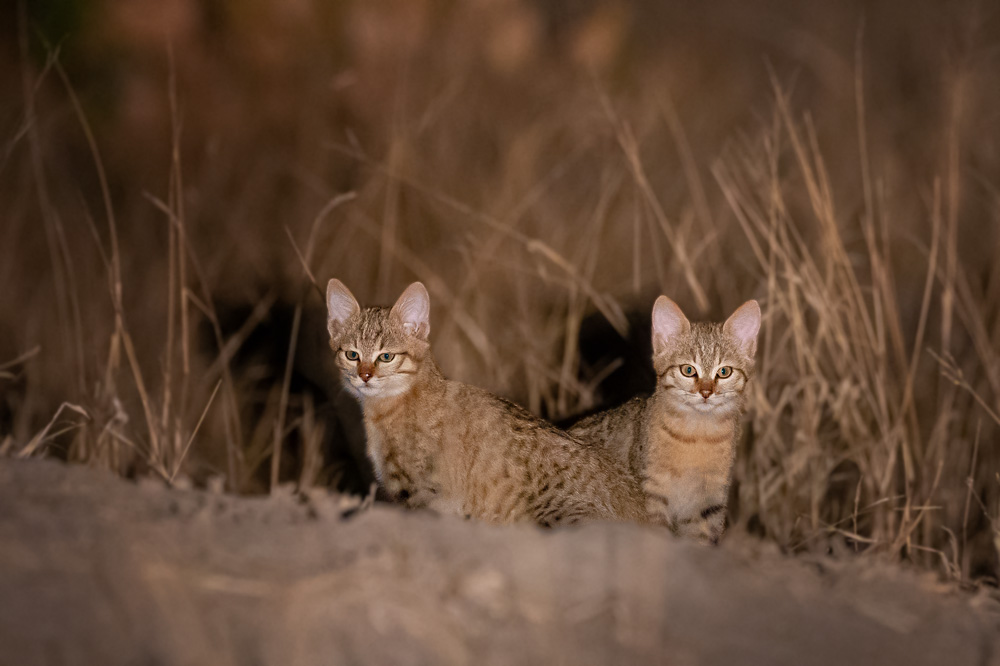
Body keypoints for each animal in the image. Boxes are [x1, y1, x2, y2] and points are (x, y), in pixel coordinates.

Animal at [572, 298, 756, 544]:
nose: (706, 392)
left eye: (724, 372)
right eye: (688, 370)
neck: (698, 437)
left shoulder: (710, 501)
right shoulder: (652, 493)